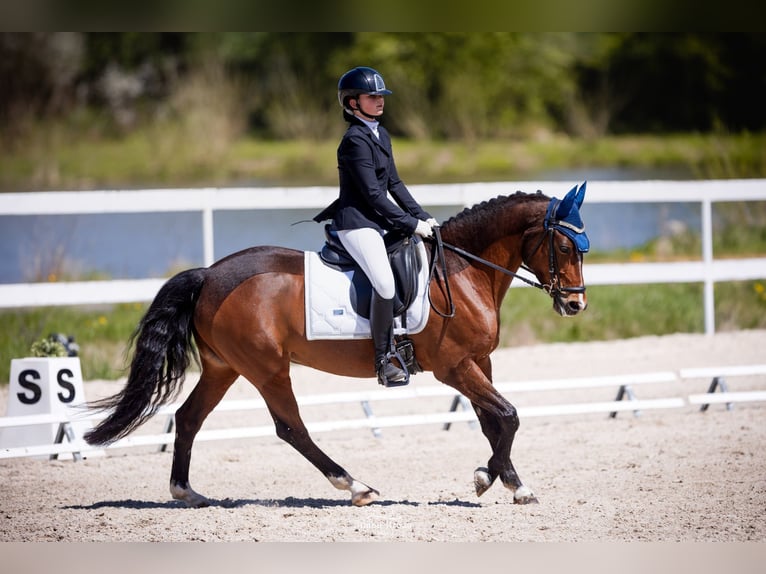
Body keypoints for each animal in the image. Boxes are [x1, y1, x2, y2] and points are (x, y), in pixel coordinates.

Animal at [84, 182, 590, 508]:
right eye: (565, 247)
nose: (575, 304)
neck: (464, 273)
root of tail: (209, 274)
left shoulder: (480, 362)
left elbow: (493, 422)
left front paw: (512, 484)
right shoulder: (455, 366)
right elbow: (509, 415)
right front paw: (488, 478)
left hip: (223, 368)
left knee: (189, 418)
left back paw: (186, 492)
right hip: (267, 368)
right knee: (291, 429)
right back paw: (355, 486)